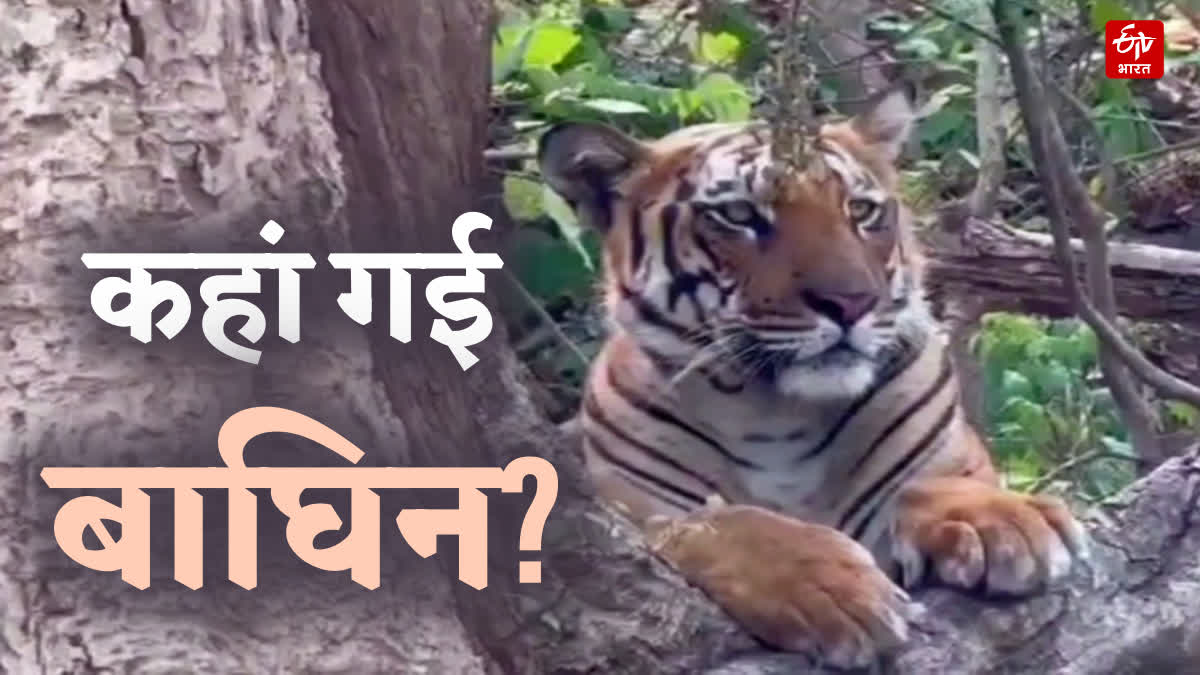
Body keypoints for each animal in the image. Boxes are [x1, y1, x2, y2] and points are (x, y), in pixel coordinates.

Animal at [537, 84, 1091, 669]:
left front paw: (1009, 523)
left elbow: (933, 484)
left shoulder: (946, 457)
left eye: (860, 210)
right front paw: (831, 591)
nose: (851, 302)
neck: (776, 413)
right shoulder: (632, 512)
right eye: (739, 214)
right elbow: (730, 524)